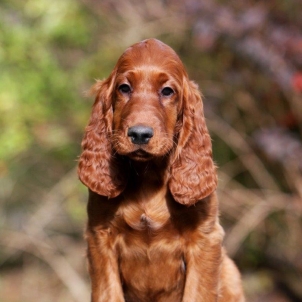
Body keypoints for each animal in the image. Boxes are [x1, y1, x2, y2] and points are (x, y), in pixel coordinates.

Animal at [78, 39, 245, 300]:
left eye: (167, 91)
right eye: (124, 88)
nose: (139, 134)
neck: (148, 174)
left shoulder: (205, 239)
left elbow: (197, 294)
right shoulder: (100, 238)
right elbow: (109, 293)